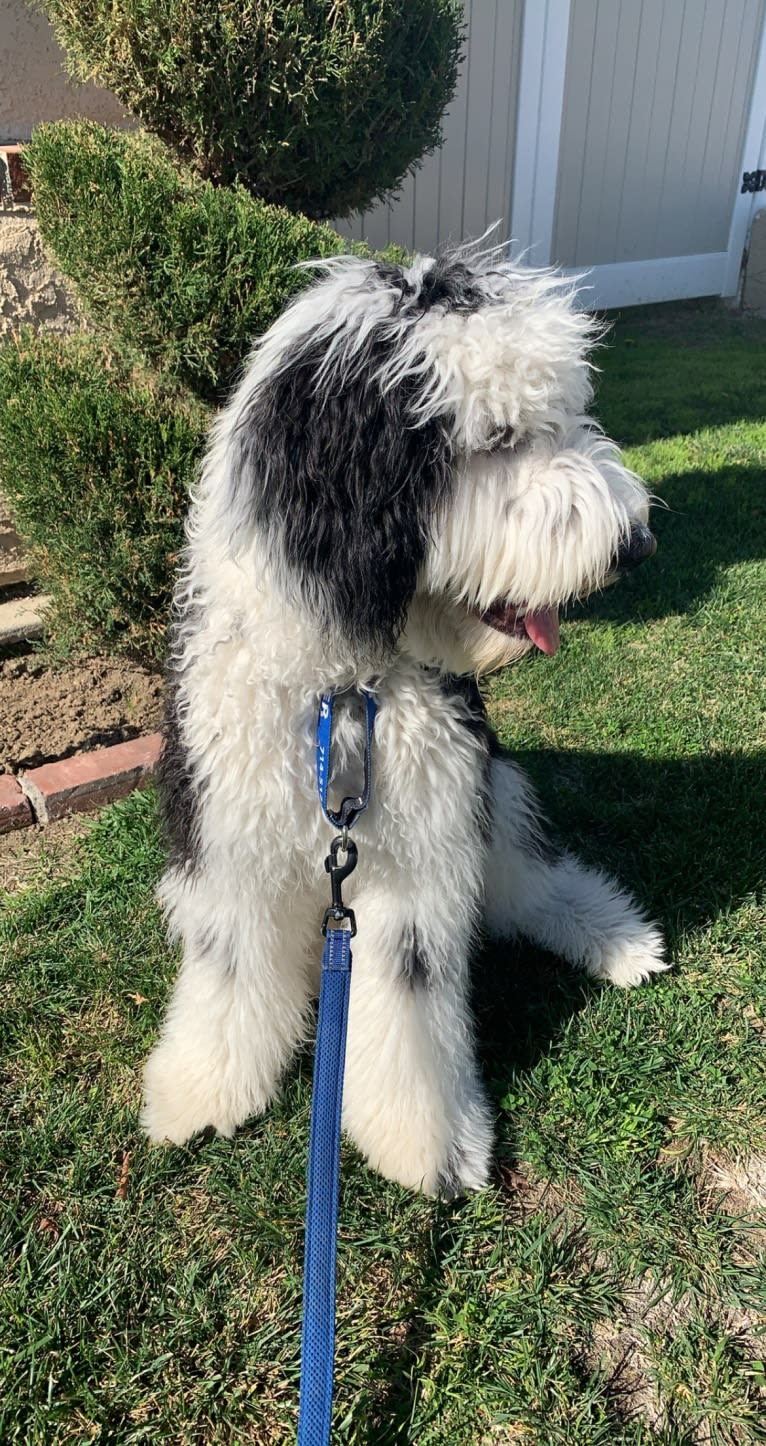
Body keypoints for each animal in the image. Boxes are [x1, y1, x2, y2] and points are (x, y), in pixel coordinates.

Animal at [141, 251, 661, 1197]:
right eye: (496, 438)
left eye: (562, 416)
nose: (635, 543)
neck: (345, 682)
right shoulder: (230, 833)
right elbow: (228, 965)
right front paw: (202, 1088)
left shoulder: (424, 836)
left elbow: (413, 992)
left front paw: (428, 1141)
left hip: (494, 781)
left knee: (527, 879)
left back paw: (608, 932)